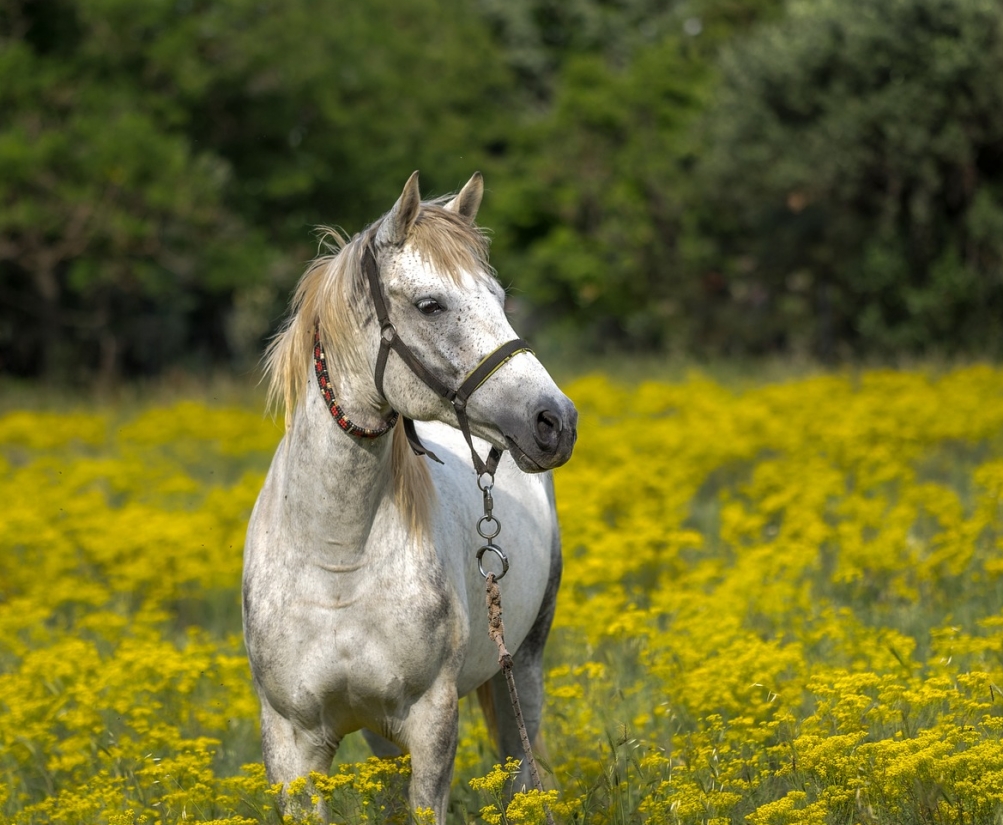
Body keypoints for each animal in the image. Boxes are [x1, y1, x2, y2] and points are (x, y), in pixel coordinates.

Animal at [241, 171, 581, 821]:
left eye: (499, 299)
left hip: (523, 666)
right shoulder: (291, 745)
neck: (337, 559)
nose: (555, 421)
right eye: (430, 305)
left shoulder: (431, 723)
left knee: (520, 769)